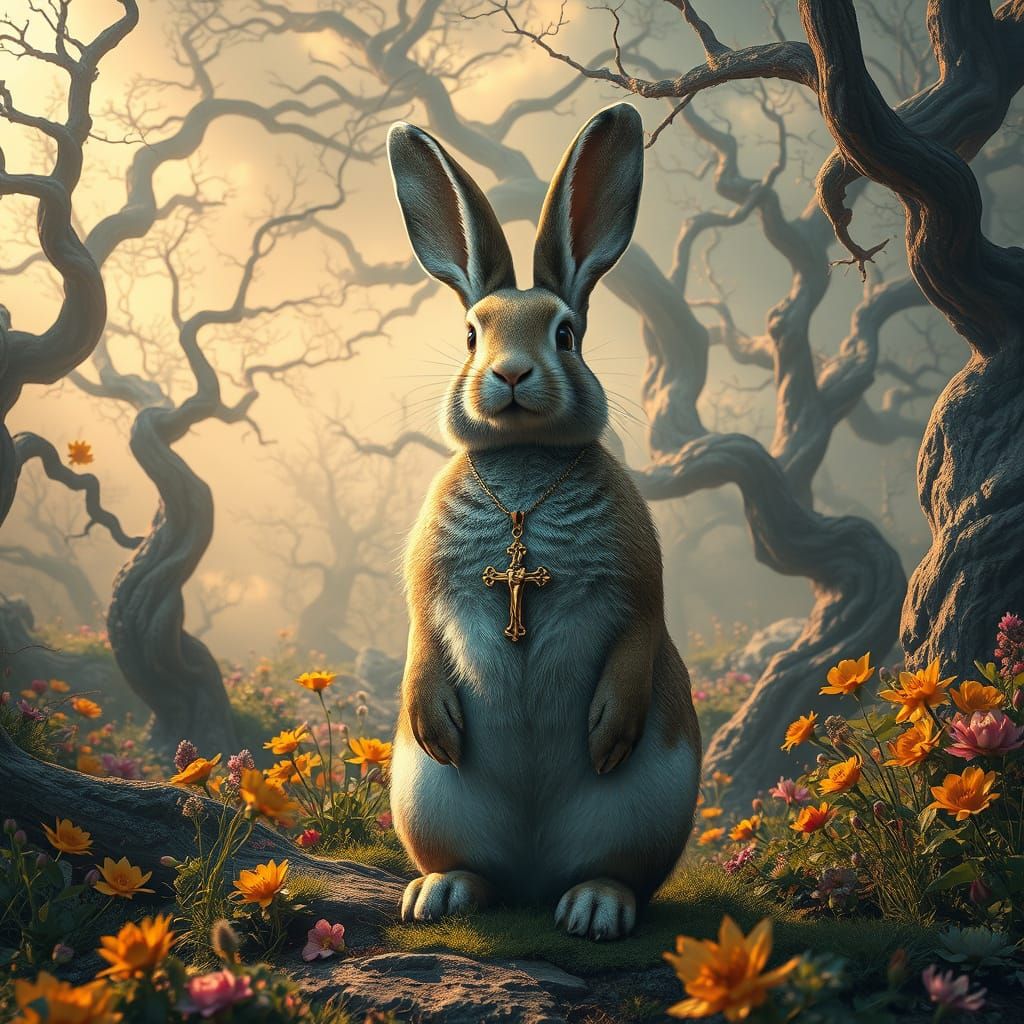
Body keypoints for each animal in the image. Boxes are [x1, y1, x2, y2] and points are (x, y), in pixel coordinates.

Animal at [385, 103, 701, 940]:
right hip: (430, 801)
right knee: (474, 868)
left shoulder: (641, 585)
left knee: (614, 874)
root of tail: (533, 876)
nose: (510, 374)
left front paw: (607, 729)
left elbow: (638, 638)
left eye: (565, 333)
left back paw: (593, 909)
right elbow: (421, 641)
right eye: (473, 333)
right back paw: (441, 894)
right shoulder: (423, 591)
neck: (525, 475)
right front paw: (434, 721)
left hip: (644, 809)